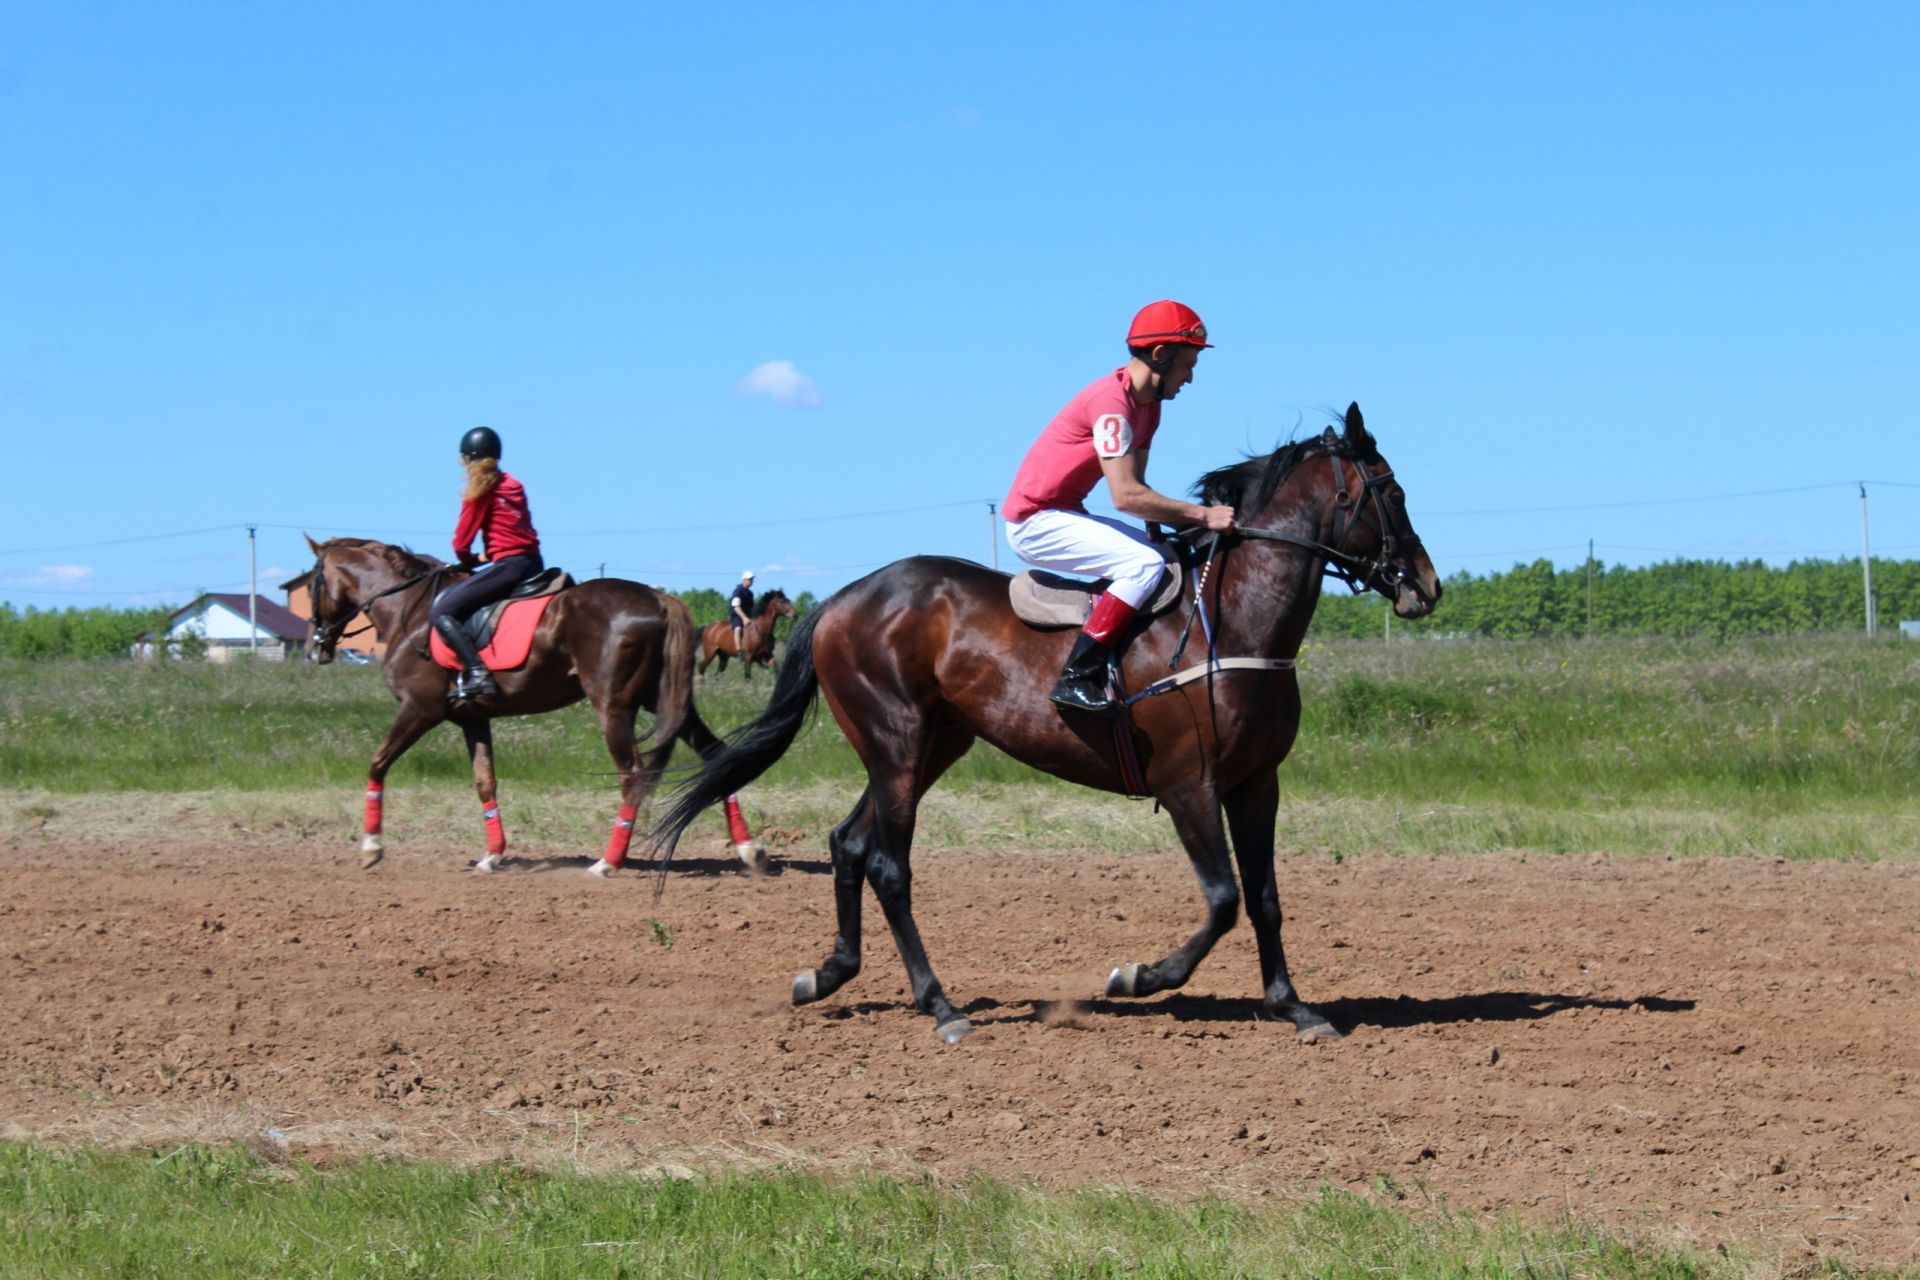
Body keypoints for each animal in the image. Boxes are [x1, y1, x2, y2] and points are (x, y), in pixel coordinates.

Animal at [299, 537, 764, 875]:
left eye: (311, 582)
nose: (314, 646)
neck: (408, 613)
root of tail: (657, 598)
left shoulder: (420, 710)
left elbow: (377, 763)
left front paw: (371, 847)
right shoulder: (473, 719)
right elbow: (485, 781)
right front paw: (492, 855)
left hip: (614, 707)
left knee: (633, 774)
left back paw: (608, 861)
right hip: (665, 703)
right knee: (716, 754)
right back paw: (748, 850)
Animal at [652, 404, 1436, 1043]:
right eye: (1393, 492)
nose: (1427, 587)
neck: (1234, 620)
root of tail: (843, 598)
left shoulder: (1255, 785)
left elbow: (1267, 899)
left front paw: (1293, 1006)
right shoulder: (1189, 785)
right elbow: (1223, 900)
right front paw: (1137, 976)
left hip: (931, 745)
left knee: (848, 844)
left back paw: (828, 974)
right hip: (897, 743)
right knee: (887, 865)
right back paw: (941, 1007)